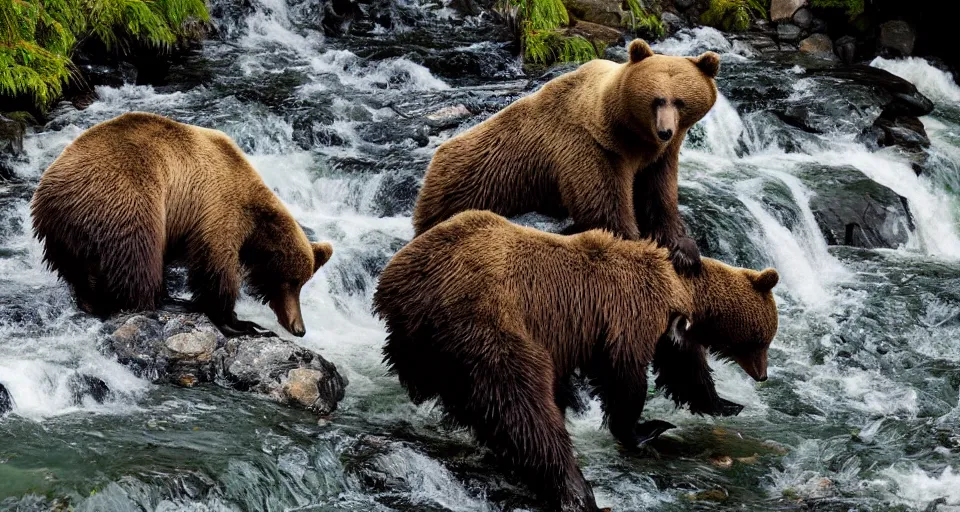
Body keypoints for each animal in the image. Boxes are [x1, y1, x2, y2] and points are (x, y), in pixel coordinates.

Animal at [31, 111, 332, 340]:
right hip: (127, 199)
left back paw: (92, 299)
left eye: (302, 282)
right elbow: (216, 267)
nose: (299, 328)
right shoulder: (216, 208)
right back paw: (163, 302)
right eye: (291, 282)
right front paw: (241, 322)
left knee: (78, 268)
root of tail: (51, 190)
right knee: (139, 257)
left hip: (64, 232)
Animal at [372, 209, 776, 512]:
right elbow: (626, 379)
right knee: (521, 403)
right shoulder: (632, 315)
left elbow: (684, 371)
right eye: (762, 339)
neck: (678, 290)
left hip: (418, 344)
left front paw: (726, 403)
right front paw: (646, 427)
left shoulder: (660, 331)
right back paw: (576, 490)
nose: (762, 375)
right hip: (485, 320)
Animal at [412, 39, 720, 276]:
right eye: (656, 99)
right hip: (465, 188)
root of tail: (435, 160)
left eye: (680, 101)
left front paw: (685, 251)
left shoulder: (658, 158)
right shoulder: (589, 148)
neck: (628, 134)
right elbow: (603, 208)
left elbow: (658, 198)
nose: (665, 130)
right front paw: (639, 245)